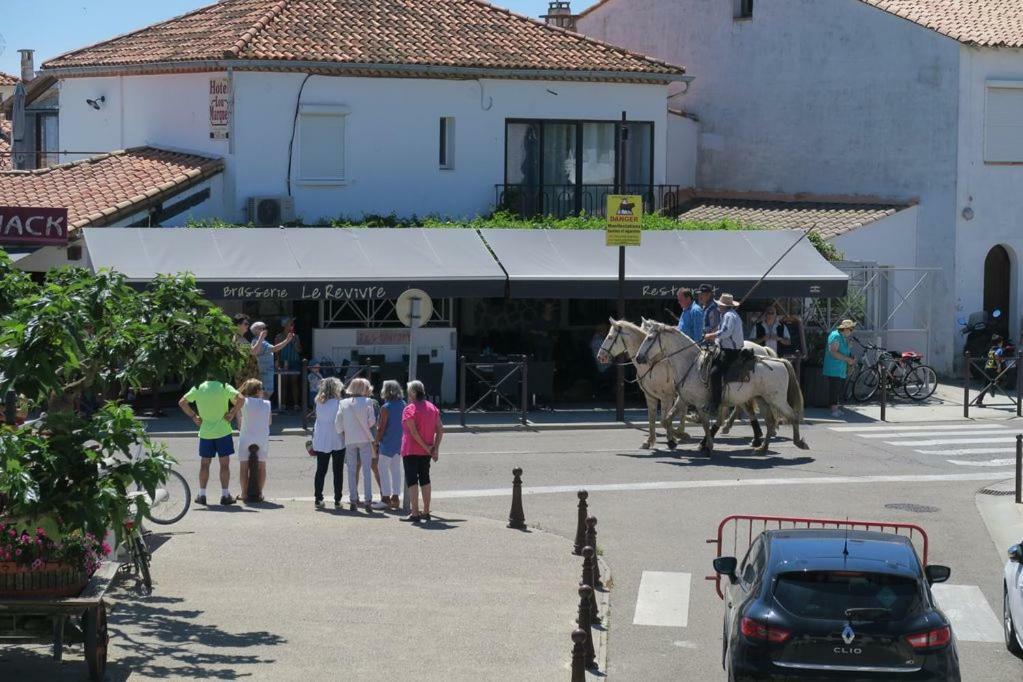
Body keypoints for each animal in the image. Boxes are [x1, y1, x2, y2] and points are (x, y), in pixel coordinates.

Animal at [597, 319, 683, 449]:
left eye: (610, 337)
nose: (600, 356)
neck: (653, 364)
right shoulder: (650, 396)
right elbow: (652, 418)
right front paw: (649, 441)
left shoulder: (667, 396)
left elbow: (665, 419)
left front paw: (672, 440)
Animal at [630, 323, 806, 456]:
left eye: (650, 338)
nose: (639, 358)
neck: (690, 364)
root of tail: (780, 361)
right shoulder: (684, 399)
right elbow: (666, 419)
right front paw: (675, 440)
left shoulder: (700, 403)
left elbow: (705, 424)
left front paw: (706, 446)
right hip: (762, 399)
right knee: (769, 422)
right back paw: (762, 447)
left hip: (777, 399)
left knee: (792, 416)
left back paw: (799, 442)